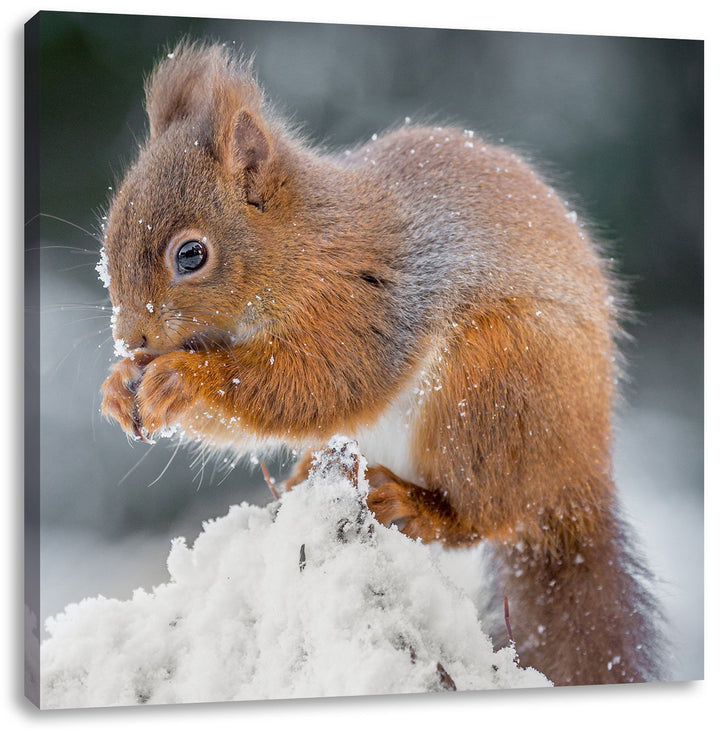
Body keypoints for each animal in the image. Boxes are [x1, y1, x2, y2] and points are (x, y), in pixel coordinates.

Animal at [100, 41, 663, 686]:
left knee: (483, 514)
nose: (131, 338)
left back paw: (414, 506)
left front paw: (181, 380)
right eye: (109, 234)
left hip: (494, 389)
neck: (301, 245)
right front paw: (119, 387)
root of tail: (580, 478)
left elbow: (317, 384)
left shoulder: (363, 305)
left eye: (191, 255)